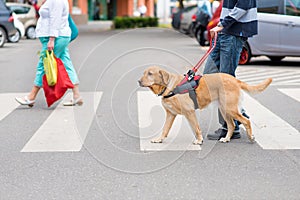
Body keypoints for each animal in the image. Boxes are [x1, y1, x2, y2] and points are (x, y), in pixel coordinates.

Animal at [138, 66, 272, 145]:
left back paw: (250, 137)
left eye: (150, 73)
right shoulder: (171, 114)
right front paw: (159, 139)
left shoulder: (189, 112)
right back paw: (226, 138)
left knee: (246, 121)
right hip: (224, 109)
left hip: (230, 108)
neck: (169, 87)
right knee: (232, 125)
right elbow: (165, 129)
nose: (138, 81)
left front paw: (199, 140)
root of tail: (234, 79)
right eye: (144, 73)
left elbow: (196, 128)